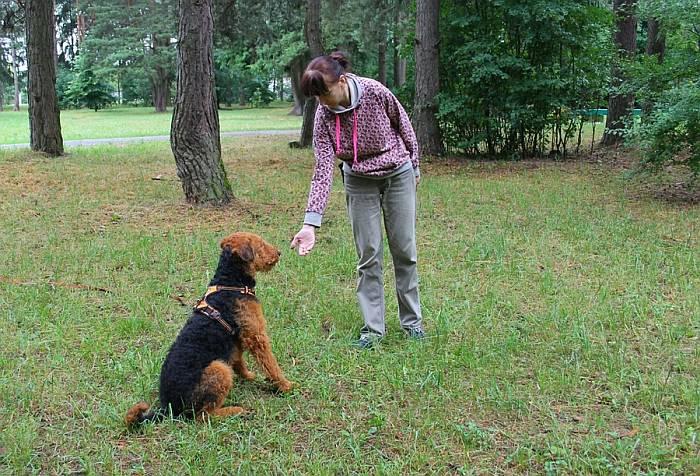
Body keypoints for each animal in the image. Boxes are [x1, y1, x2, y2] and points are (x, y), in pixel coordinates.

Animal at [126, 232, 292, 426]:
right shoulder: (255, 335)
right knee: (204, 416)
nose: (279, 253)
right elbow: (271, 364)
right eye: (260, 245)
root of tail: (169, 408)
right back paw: (236, 410)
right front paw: (286, 385)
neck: (230, 282)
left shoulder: (237, 340)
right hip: (219, 369)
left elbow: (239, 361)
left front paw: (249, 376)